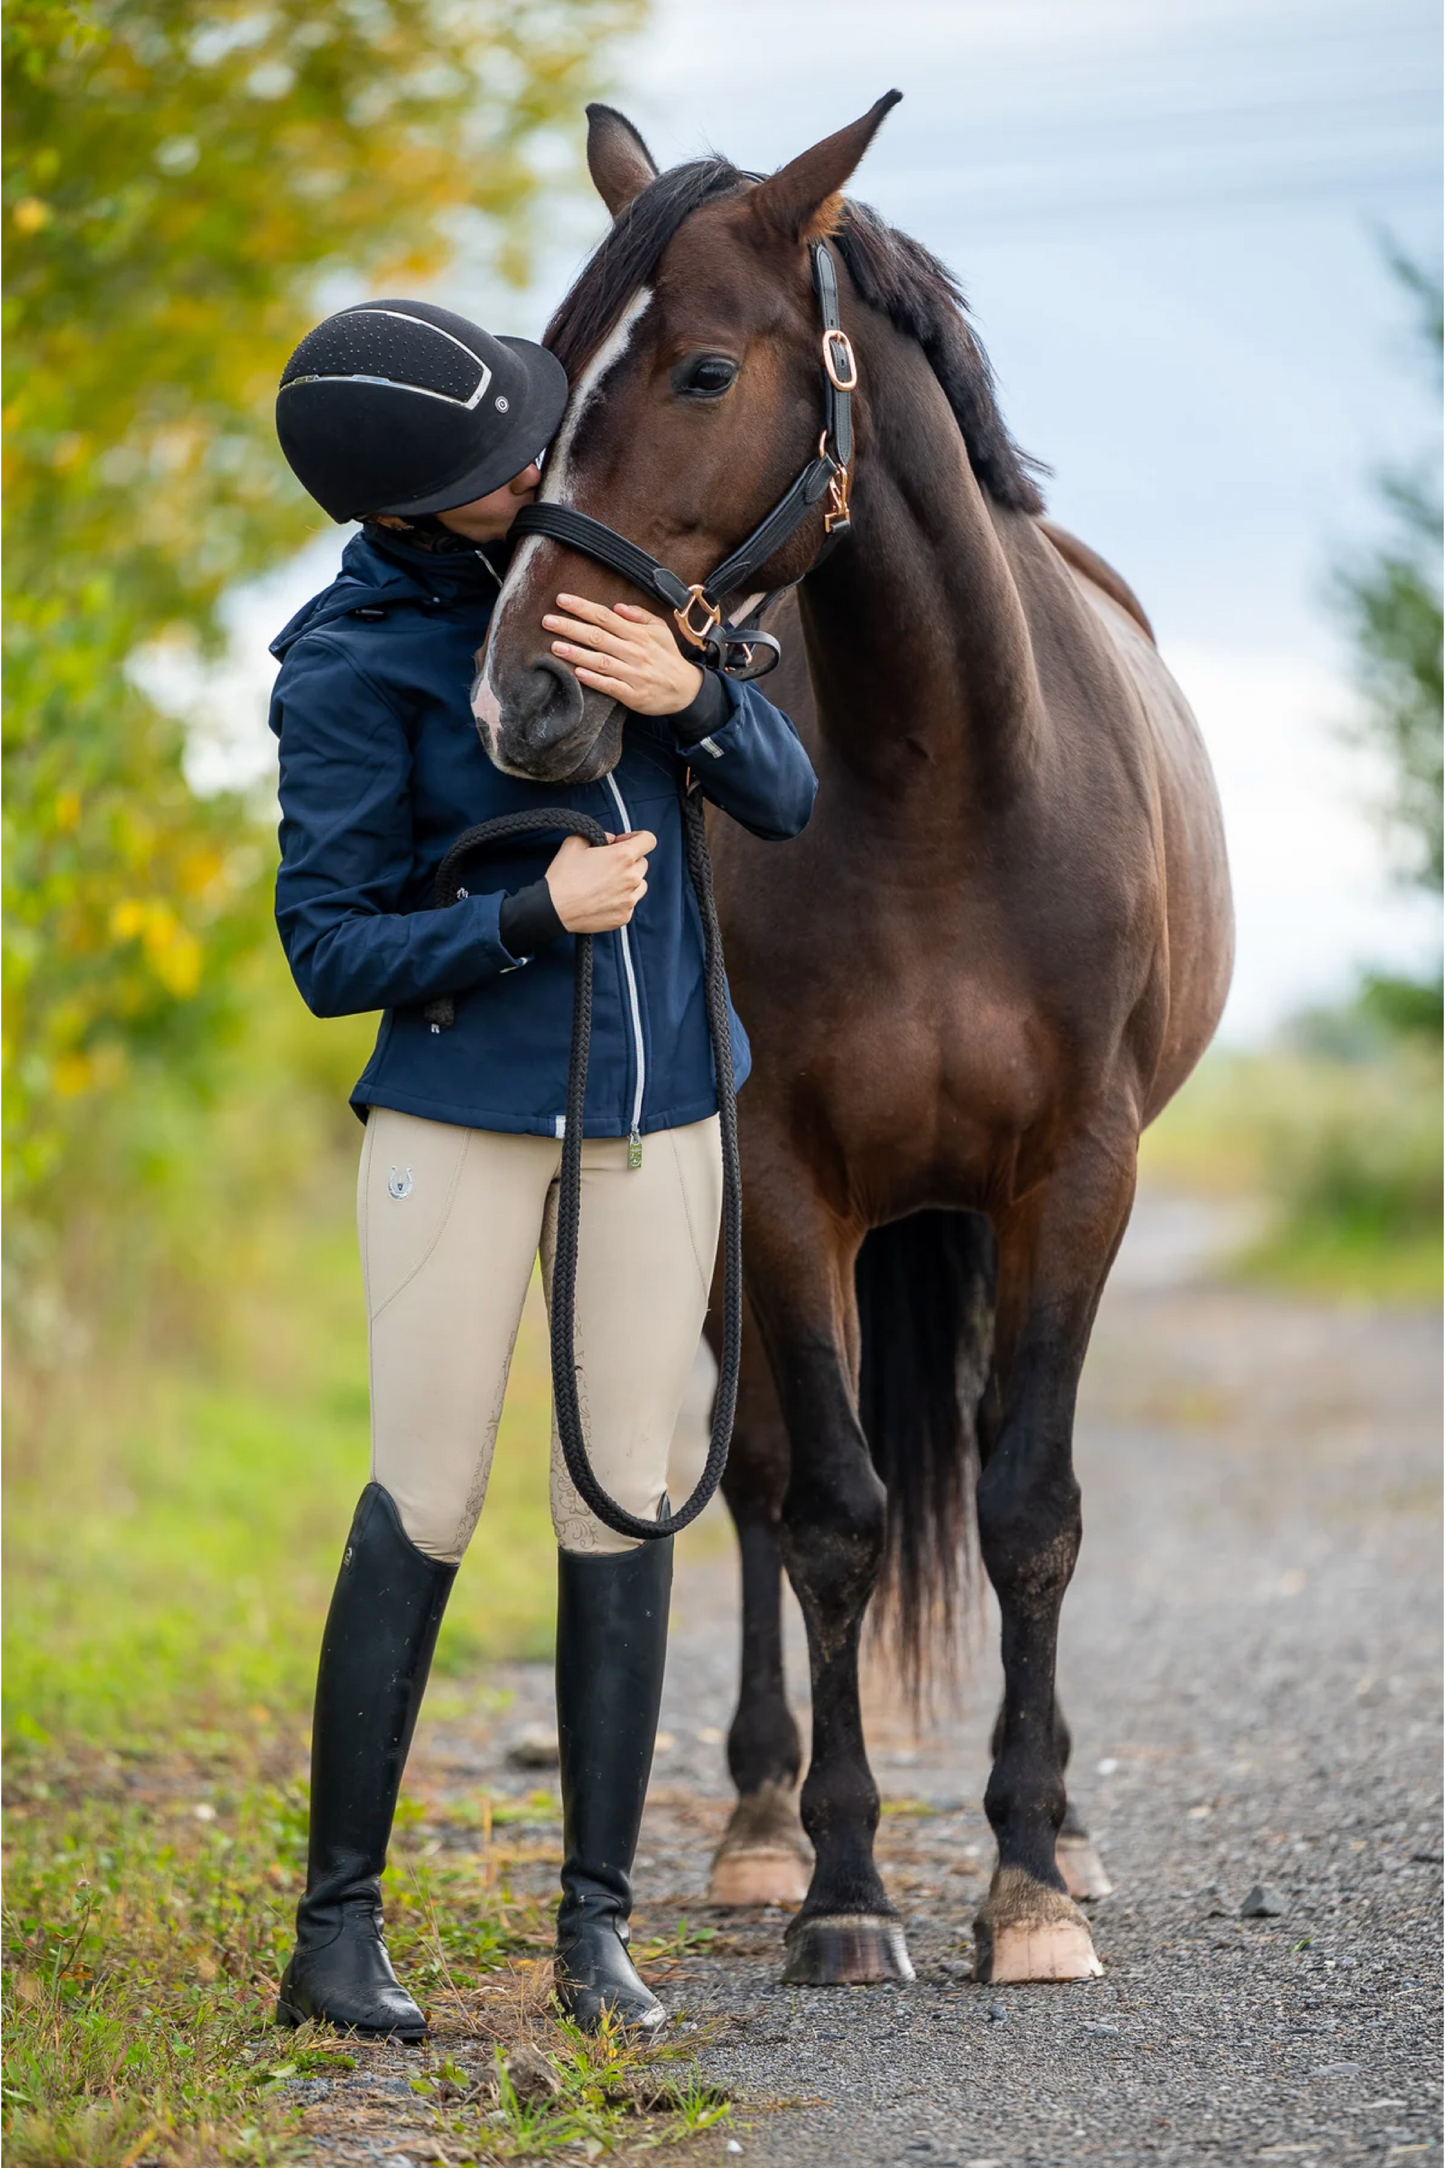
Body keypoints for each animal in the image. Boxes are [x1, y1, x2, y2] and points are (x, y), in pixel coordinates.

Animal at [474, 93, 1230, 1985]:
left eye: (699, 370)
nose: (523, 693)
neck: (943, 782)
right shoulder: (789, 1183)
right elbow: (825, 1510)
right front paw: (841, 1887)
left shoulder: (1075, 1181)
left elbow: (1030, 1507)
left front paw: (1028, 1885)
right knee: (749, 1483)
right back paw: (756, 1823)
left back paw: (1064, 1830)